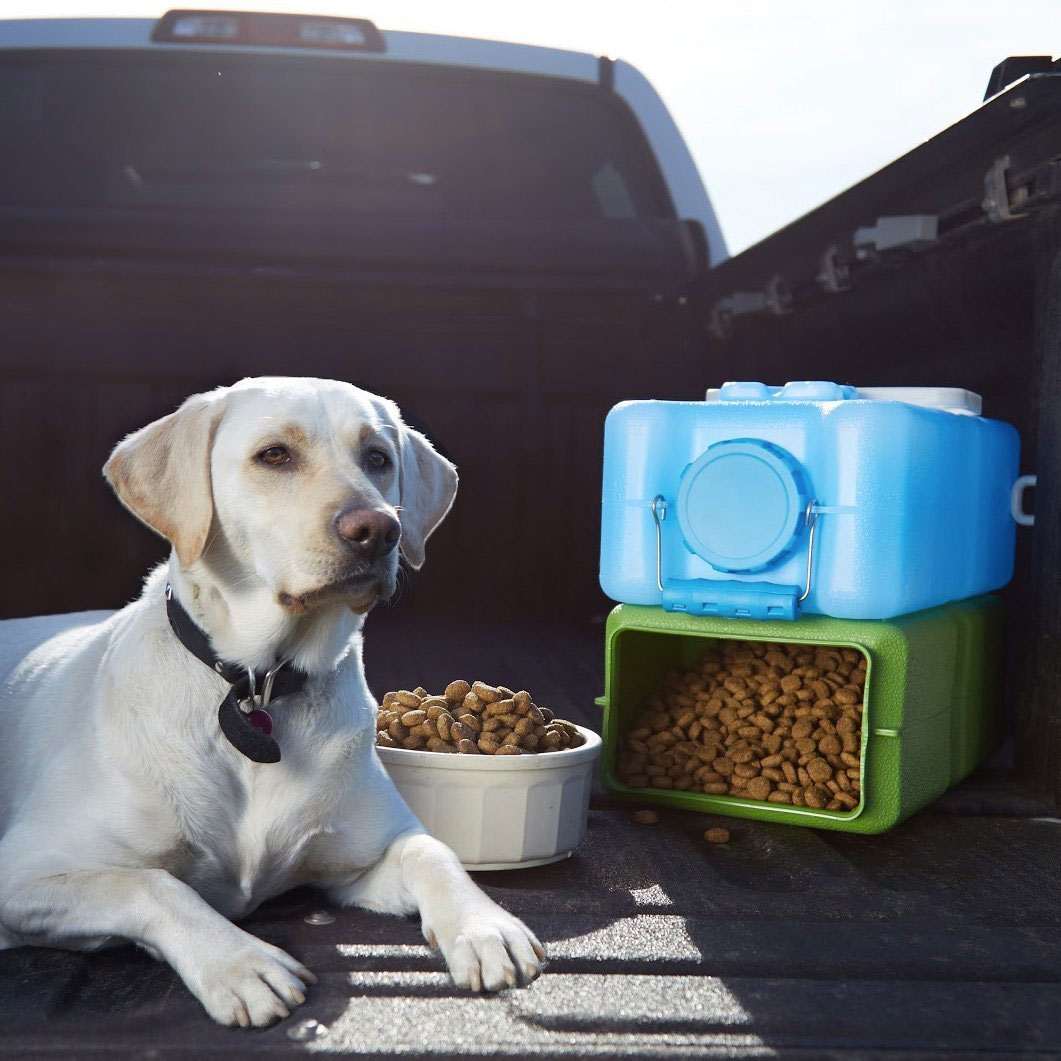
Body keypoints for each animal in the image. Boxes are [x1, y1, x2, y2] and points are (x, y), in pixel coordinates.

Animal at [0, 375, 543, 1027]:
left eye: (378, 458)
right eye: (275, 455)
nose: (378, 529)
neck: (256, 684)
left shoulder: (361, 861)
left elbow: (430, 850)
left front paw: (484, 925)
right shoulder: (25, 872)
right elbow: (151, 884)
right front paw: (239, 964)